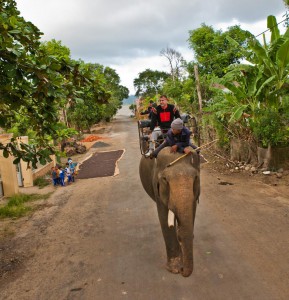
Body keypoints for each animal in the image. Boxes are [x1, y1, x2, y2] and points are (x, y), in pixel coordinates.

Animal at [138, 147, 199, 276]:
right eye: (165, 179)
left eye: (196, 178)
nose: (182, 269)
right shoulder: (157, 187)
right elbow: (164, 217)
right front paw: (175, 269)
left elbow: (192, 211)